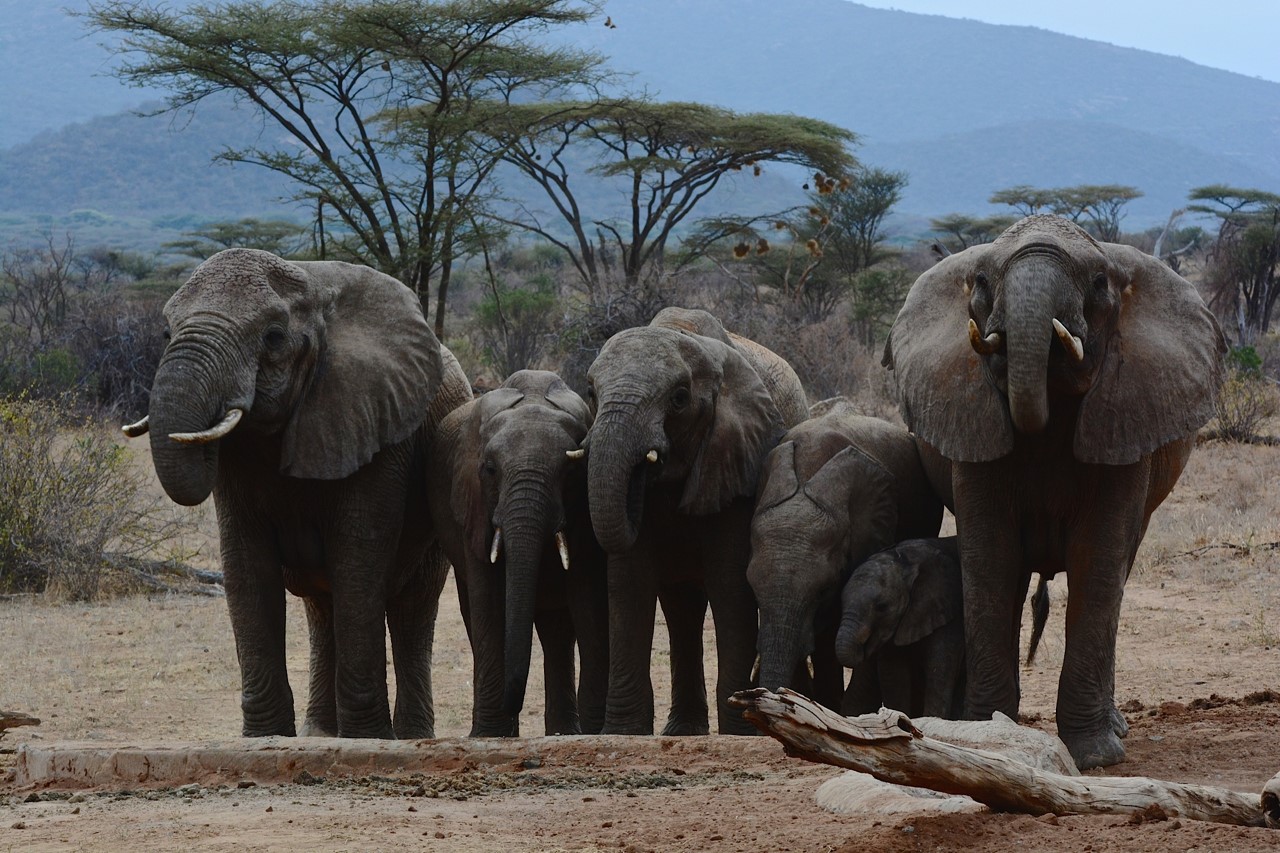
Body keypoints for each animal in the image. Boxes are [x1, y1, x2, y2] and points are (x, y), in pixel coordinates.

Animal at [122, 248, 472, 738]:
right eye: (166, 333)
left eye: (273, 338)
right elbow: (246, 565)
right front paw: (266, 736)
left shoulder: (381, 426)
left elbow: (358, 558)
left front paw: (368, 738)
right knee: (322, 611)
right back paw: (320, 734)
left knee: (412, 609)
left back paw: (408, 736)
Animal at [427, 369, 607, 736]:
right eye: (490, 469)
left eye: (570, 472)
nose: (514, 706)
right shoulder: (474, 506)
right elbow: (490, 602)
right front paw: (490, 735)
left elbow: (587, 599)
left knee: (557, 631)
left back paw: (563, 732)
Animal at [583, 306, 808, 735]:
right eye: (591, 393)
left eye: (679, 399)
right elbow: (629, 580)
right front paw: (622, 732)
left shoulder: (737, 459)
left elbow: (728, 581)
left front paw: (741, 727)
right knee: (681, 608)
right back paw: (683, 730)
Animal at [883, 214, 1225, 768]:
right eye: (981, 282)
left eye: (1101, 284)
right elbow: (993, 561)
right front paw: (985, 734)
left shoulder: (1123, 423)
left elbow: (1098, 563)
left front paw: (1096, 758)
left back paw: (1115, 727)